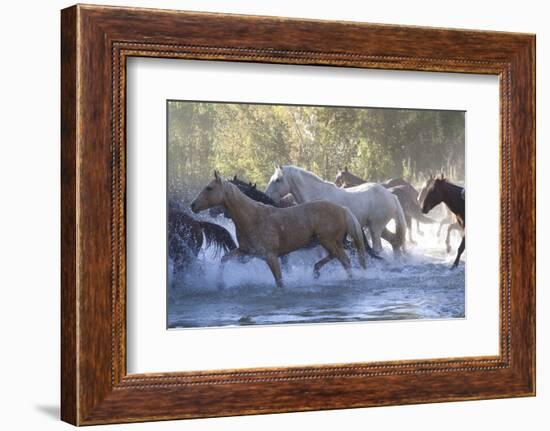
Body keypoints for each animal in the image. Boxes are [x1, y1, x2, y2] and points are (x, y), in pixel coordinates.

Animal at [192, 170, 368, 288]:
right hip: (328, 243)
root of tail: (343, 209)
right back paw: (316, 272)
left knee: (345, 261)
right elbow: (224, 259)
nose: (193, 205)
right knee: (337, 258)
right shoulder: (245, 253)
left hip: (330, 242)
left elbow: (279, 281)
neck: (252, 216)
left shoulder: (271, 257)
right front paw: (219, 283)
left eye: (209, 188)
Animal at [268, 165, 410, 253]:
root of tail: (391, 195)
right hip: (376, 227)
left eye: (277, 180)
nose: (267, 196)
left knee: (379, 248)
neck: (317, 195)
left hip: (375, 228)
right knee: (394, 242)